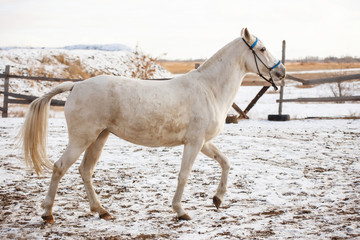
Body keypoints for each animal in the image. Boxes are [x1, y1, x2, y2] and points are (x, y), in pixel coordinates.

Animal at [19, 28, 284, 223]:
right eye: (262, 49)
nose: (281, 71)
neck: (209, 89)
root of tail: (76, 86)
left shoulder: (203, 142)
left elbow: (225, 163)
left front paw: (217, 199)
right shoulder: (194, 143)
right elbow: (184, 175)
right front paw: (180, 211)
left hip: (99, 138)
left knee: (85, 171)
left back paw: (102, 211)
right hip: (81, 139)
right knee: (59, 167)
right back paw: (48, 213)